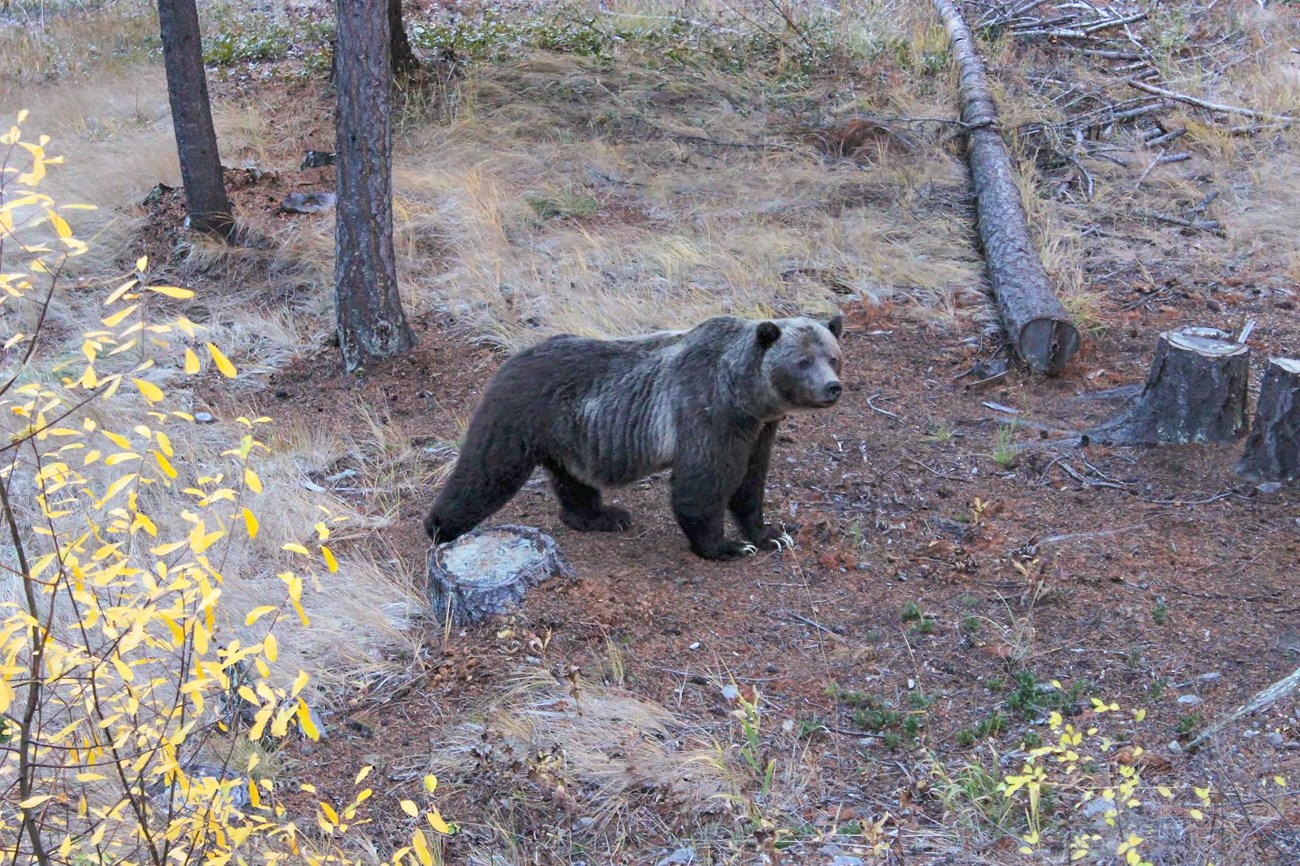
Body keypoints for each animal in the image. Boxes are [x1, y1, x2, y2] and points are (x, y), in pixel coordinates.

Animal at [423, 312, 842, 559]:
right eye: (803, 361)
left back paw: (602, 516)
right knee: (485, 472)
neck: (744, 394)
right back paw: (441, 525)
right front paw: (726, 545)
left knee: (573, 481)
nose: (832, 387)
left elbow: (750, 483)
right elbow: (702, 484)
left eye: (833, 356)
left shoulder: (758, 430)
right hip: (517, 416)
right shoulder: (709, 414)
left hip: (569, 435)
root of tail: (508, 360)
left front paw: (772, 533)